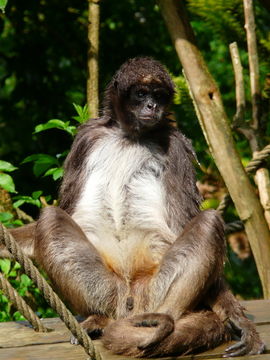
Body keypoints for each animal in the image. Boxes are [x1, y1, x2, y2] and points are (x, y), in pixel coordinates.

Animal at [5, 57, 264, 356]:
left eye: (158, 96)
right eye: (141, 94)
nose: (152, 106)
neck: (129, 136)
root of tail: (129, 299)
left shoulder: (176, 145)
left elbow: (184, 221)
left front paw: (235, 316)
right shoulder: (87, 138)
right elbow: (67, 211)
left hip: (154, 290)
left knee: (209, 222)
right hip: (107, 289)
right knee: (51, 218)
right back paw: (99, 319)